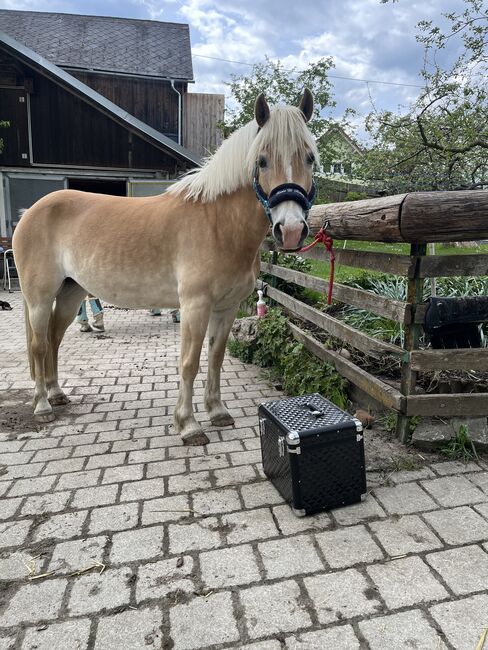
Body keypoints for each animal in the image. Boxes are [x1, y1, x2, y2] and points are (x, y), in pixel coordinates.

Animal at [13, 88, 318, 446]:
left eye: (309, 158)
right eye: (262, 160)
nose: (291, 230)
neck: (218, 224)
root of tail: (30, 212)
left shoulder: (226, 307)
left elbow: (215, 357)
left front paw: (217, 411)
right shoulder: (195, 305)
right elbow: (189, 362)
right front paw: (188, 425)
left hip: (70, 293)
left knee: (53, 339)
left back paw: (57, 393)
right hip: (39, 296)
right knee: (39, 345)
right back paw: (42, 406)